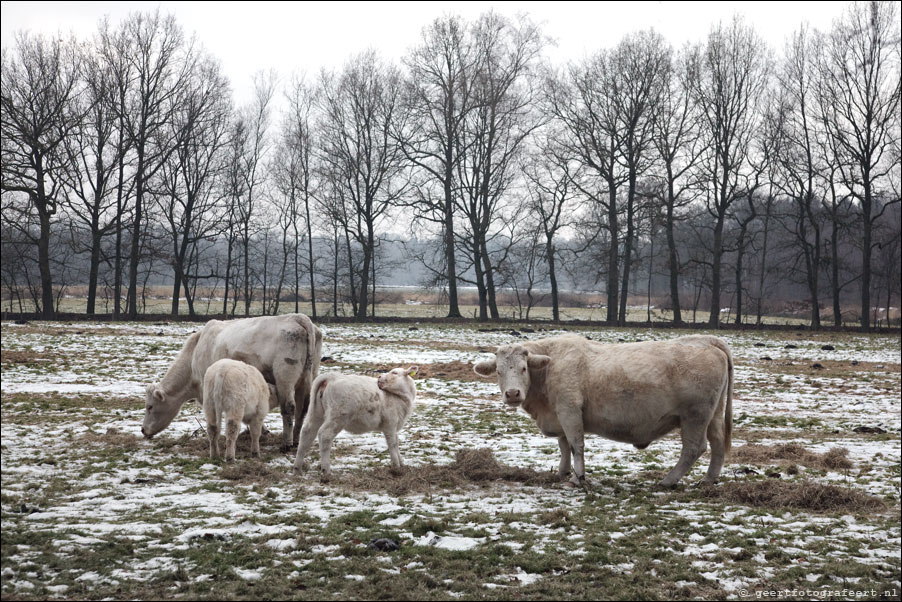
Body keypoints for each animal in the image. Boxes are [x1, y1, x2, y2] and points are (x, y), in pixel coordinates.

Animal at [141, 312, 322, 448]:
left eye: (150, 407)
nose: (143, 430)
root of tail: (298, 317)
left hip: (285, 377)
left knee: (289, 408)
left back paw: (287, 443)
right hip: (308, 377)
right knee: (303, 409)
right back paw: (297, 441)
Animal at [296, 366, 424, 478]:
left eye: (395, 373)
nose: (379, 377)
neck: (401, 398)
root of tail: (332, 377)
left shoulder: (394, 426)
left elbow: (396, 443)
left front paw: (402, 464)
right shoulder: (390, 424)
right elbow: (392, 444)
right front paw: (396, 467)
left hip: (316, 412)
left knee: (307, 433)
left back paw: (297, 469)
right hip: (338, 416)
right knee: (325, 435)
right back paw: (326, 471)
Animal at [474, 336, 736, 486]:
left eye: (523, 368)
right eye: (498, 371)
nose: (512, 394)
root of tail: (706, 341)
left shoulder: (569, 410)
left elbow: (575, 445)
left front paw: (578, 478)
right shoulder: (558, 415)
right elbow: (563, 446)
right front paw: (562, 472)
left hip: (695, 416)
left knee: (694, 448)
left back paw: (667, 481)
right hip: (713, 415)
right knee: (718, 445)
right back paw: (708, 480)